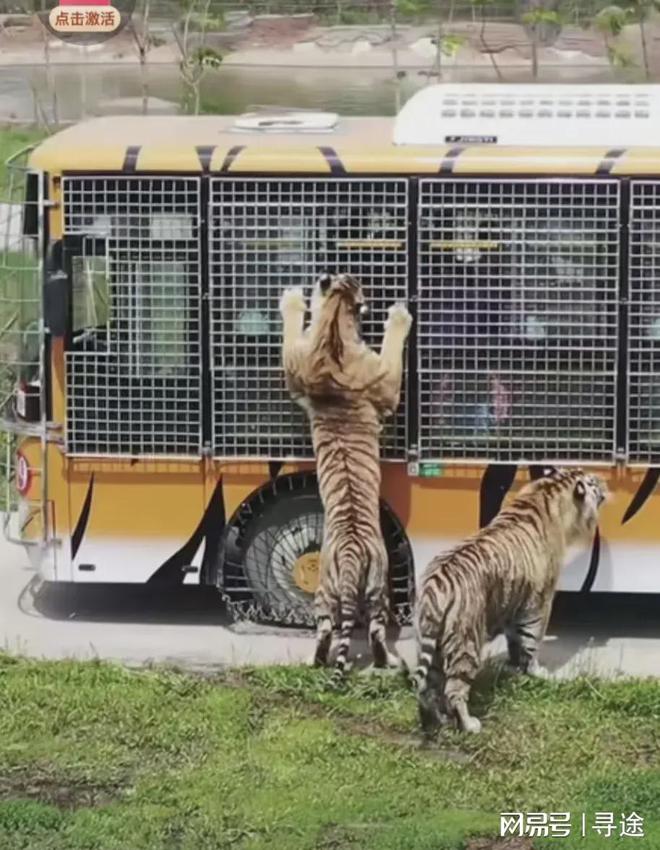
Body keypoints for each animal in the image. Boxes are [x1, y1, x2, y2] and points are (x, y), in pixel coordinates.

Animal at [278, 272, 412, 676]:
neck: (334, 329)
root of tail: (352, 555)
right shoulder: (386, 386)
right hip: (364, 589)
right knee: (356, 632)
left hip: (354, 591)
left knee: (350, 632)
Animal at [416, 468, 612, 732]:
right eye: (593, 481)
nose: (605, 480)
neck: (548, 493)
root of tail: (435, 585)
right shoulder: (539, 602)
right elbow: (532, 640)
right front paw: (538, 672)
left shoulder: (514, 602)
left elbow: (514, 639)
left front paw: (512, 666)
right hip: (466, 641)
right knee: (454, 690)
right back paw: (469, 724)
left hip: (433, 644)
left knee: (429, 688)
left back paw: (441, 720)